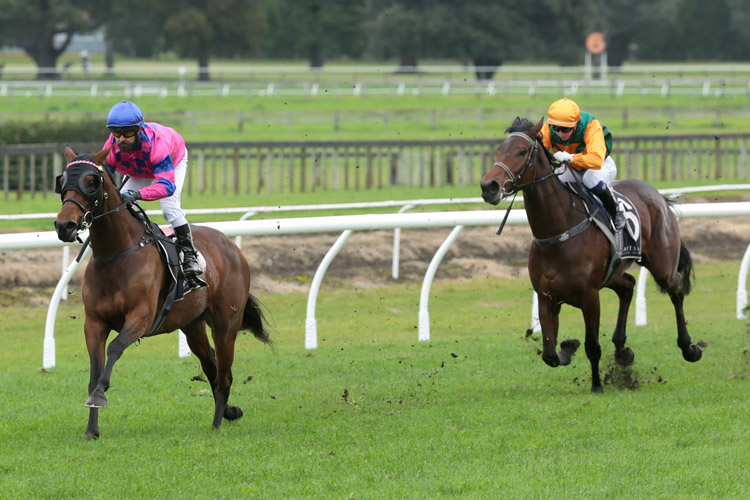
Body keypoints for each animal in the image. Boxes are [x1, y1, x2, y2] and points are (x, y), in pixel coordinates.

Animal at [55, 146, 274, 440]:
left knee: (224, 374)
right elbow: (94, 371)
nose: (64, 225)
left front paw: (100, 396)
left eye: (91, 181)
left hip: (226, 324)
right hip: (193, 325)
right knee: (212, 367)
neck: (116, 254)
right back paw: (230, 411)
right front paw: (92, 428)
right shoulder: (94, 323)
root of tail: (232, 246)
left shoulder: (141, 317)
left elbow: (115, 348)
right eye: (62, 180)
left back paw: (217, 423)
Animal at [482, 118, 704, 394]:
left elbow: (592, 346)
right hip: (612, 273)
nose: (488, 187)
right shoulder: (546, 296)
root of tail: (658, 196)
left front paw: (597, 385)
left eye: (522, 152)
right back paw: (622, 350)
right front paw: (568, 347)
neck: (559, 230)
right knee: (628, 286)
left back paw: (689, 347)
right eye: (499, 151)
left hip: (662, 264)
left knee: (676, 289)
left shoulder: (590, 297)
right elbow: (549, 353)